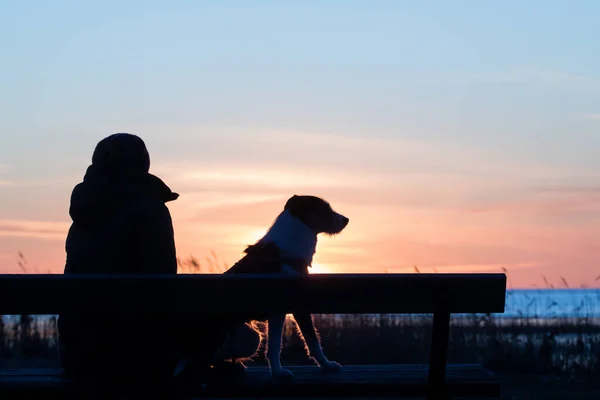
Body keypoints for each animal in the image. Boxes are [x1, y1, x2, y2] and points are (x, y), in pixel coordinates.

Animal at [224, 195, 346, 380]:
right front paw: (278, 373)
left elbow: (311, 339)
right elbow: (278, 345)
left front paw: (326, 365)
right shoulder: (282, 309)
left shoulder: (297, 307)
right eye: (325, 209)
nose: (347, 220)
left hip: (251, 335)